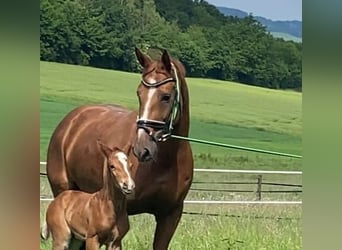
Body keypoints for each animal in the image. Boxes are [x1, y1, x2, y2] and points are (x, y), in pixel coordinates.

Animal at [46, 48, 194, 250]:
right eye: (139, 93)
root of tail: (70, 121)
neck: (165, 162)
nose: (142, 149)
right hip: (63, 192)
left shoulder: (170, 215)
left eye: (166, 96)